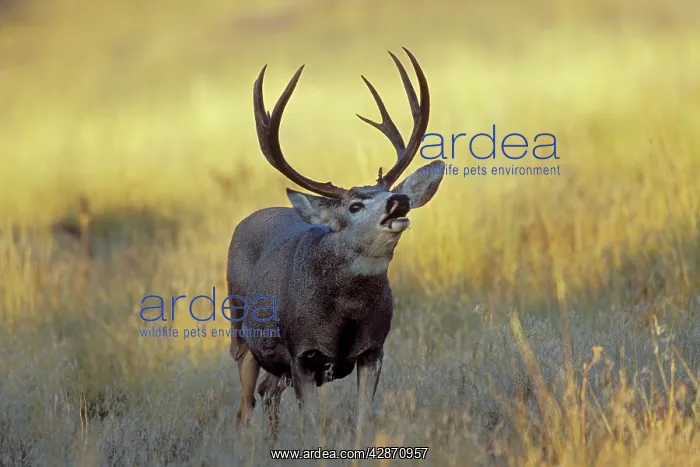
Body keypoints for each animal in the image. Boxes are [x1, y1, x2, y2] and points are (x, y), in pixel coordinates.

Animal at [226, 47, 445, 443]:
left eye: (390, 192)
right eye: (354, 205)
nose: (400, 202)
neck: (344, 317)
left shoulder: (374, 348)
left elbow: (364, 418)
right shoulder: (301, 353)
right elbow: (313, 424)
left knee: (266, 393)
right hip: (240, 332)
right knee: (244, 407)